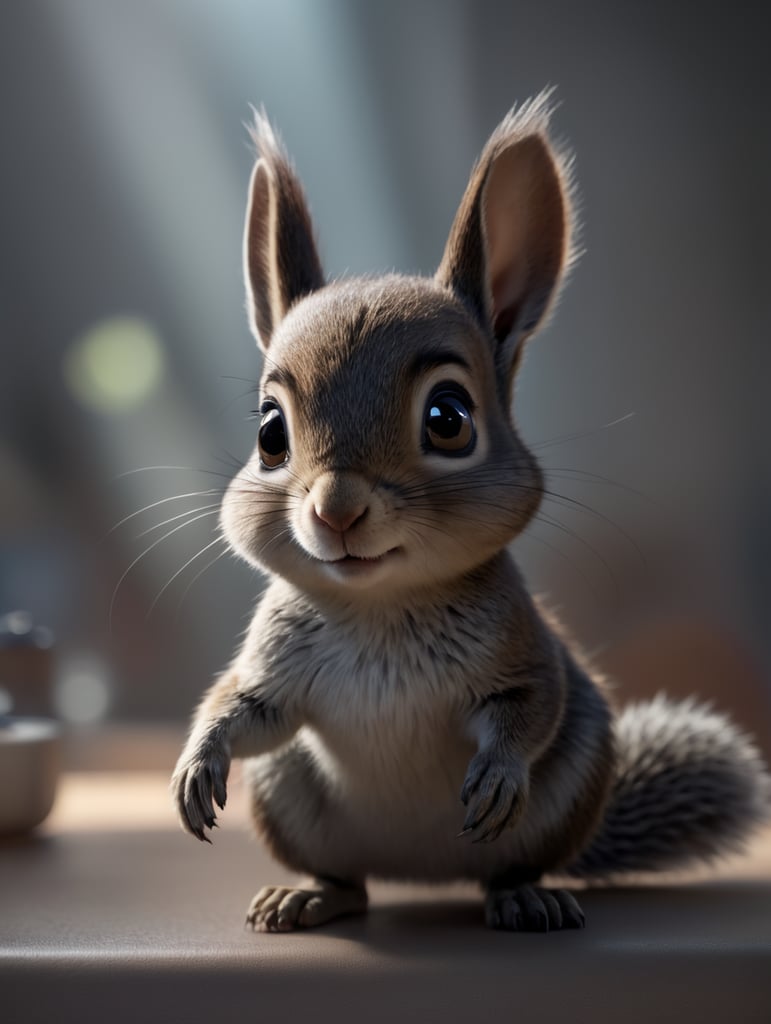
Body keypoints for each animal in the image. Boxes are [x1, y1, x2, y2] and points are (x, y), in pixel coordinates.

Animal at [172, 92, 769, 932]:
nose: (336, 510)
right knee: (350, 882)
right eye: (269, 434)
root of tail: (422, 873)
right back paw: (308, 894)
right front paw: (197, 764)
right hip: (287, 797)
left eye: (448, 418)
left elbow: (531, 709)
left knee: (508, 865)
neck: (378, 609)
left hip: (561, 796)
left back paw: (525, 897)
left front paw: (496, 772)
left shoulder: (523, 655)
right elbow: (242, 706)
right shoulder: (275, 672)